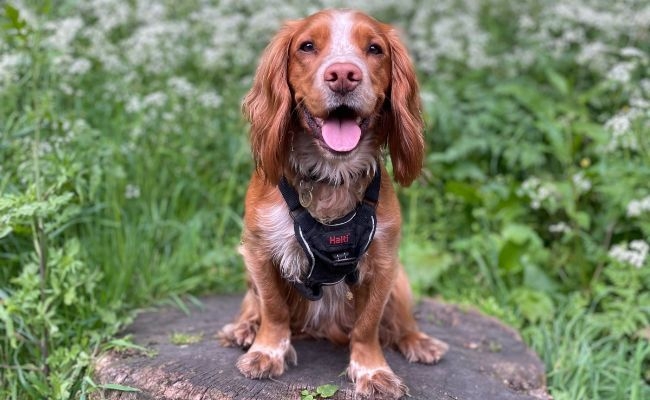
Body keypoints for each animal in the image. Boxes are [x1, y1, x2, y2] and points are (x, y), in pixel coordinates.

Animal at [218, 9, 446, 400]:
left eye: (375, 48)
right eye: (307, 46)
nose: (343, 74)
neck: (331, 174)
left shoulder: (384, 262)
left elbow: (368, 326)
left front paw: (373, 371)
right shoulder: (258, 250)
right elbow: (273, 308)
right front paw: (266, 351)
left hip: (401, 280)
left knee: (400, 321)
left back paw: (418, 340)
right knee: (253, 303)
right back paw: (243, 328)